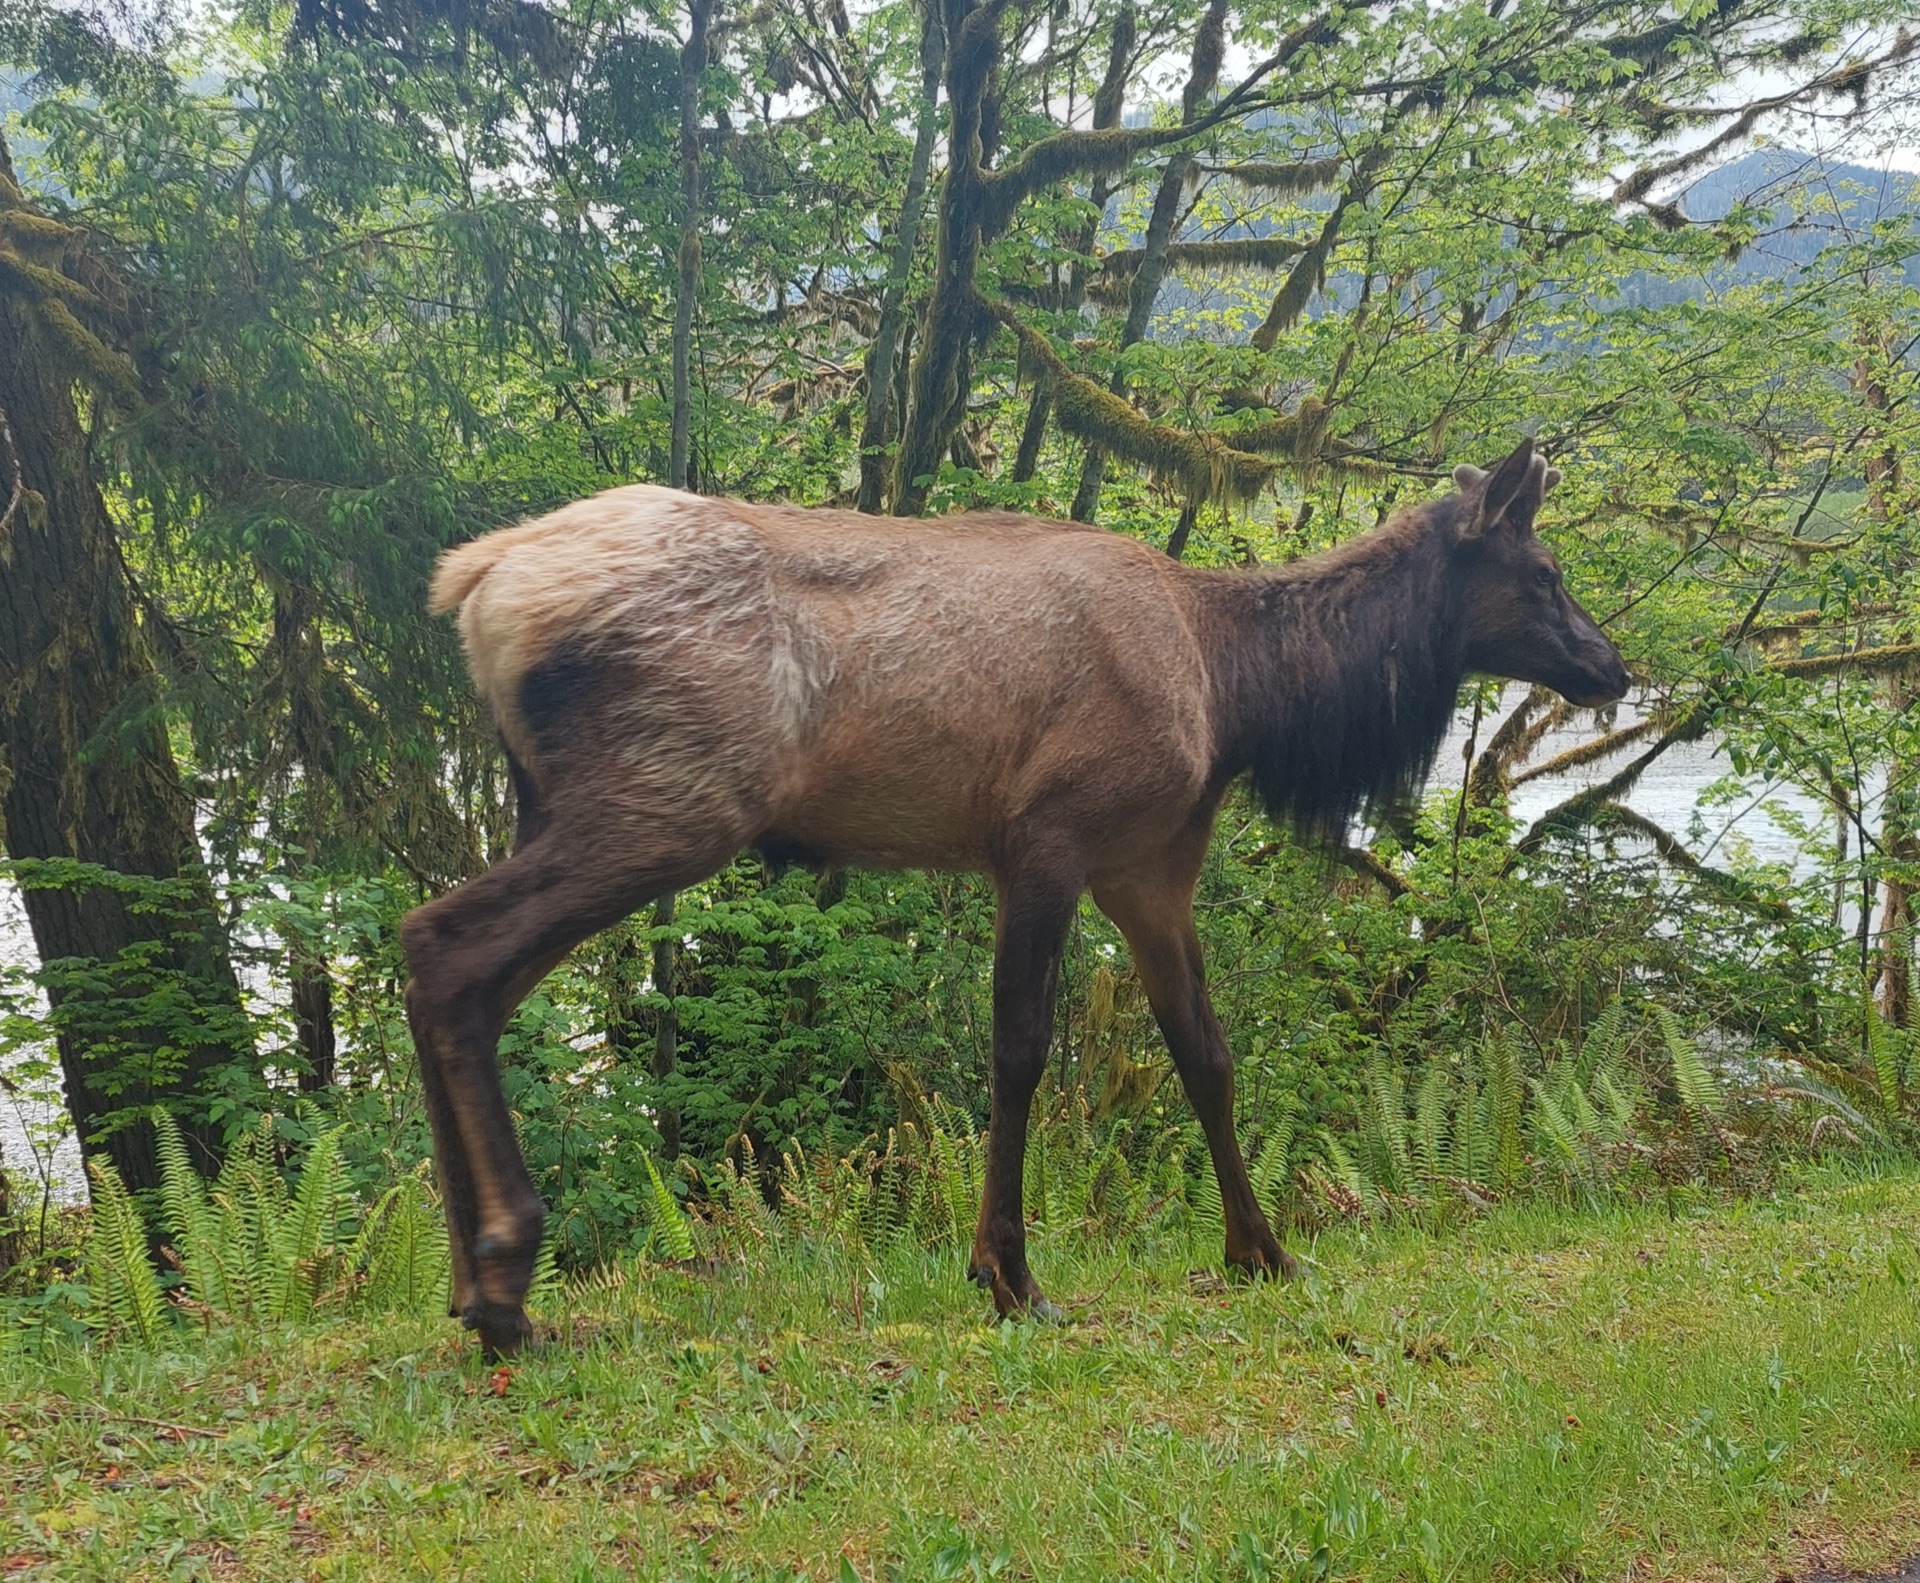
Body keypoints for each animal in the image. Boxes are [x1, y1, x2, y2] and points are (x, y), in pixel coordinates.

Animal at [403, 435, 1630, 1355]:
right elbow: (1019, 1049)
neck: (1239, 697)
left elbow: (1206, 1053)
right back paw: (506, 1278)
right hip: (671, 800)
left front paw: (1262, 1246)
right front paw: (1009, 1270)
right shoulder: (1049, 835)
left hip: (555, 799)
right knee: (448, 941)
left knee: (444, 962)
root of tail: (474, 584)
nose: (1612, 665)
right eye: (1545, 572)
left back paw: (473, 1282)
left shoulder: (1150, 867)